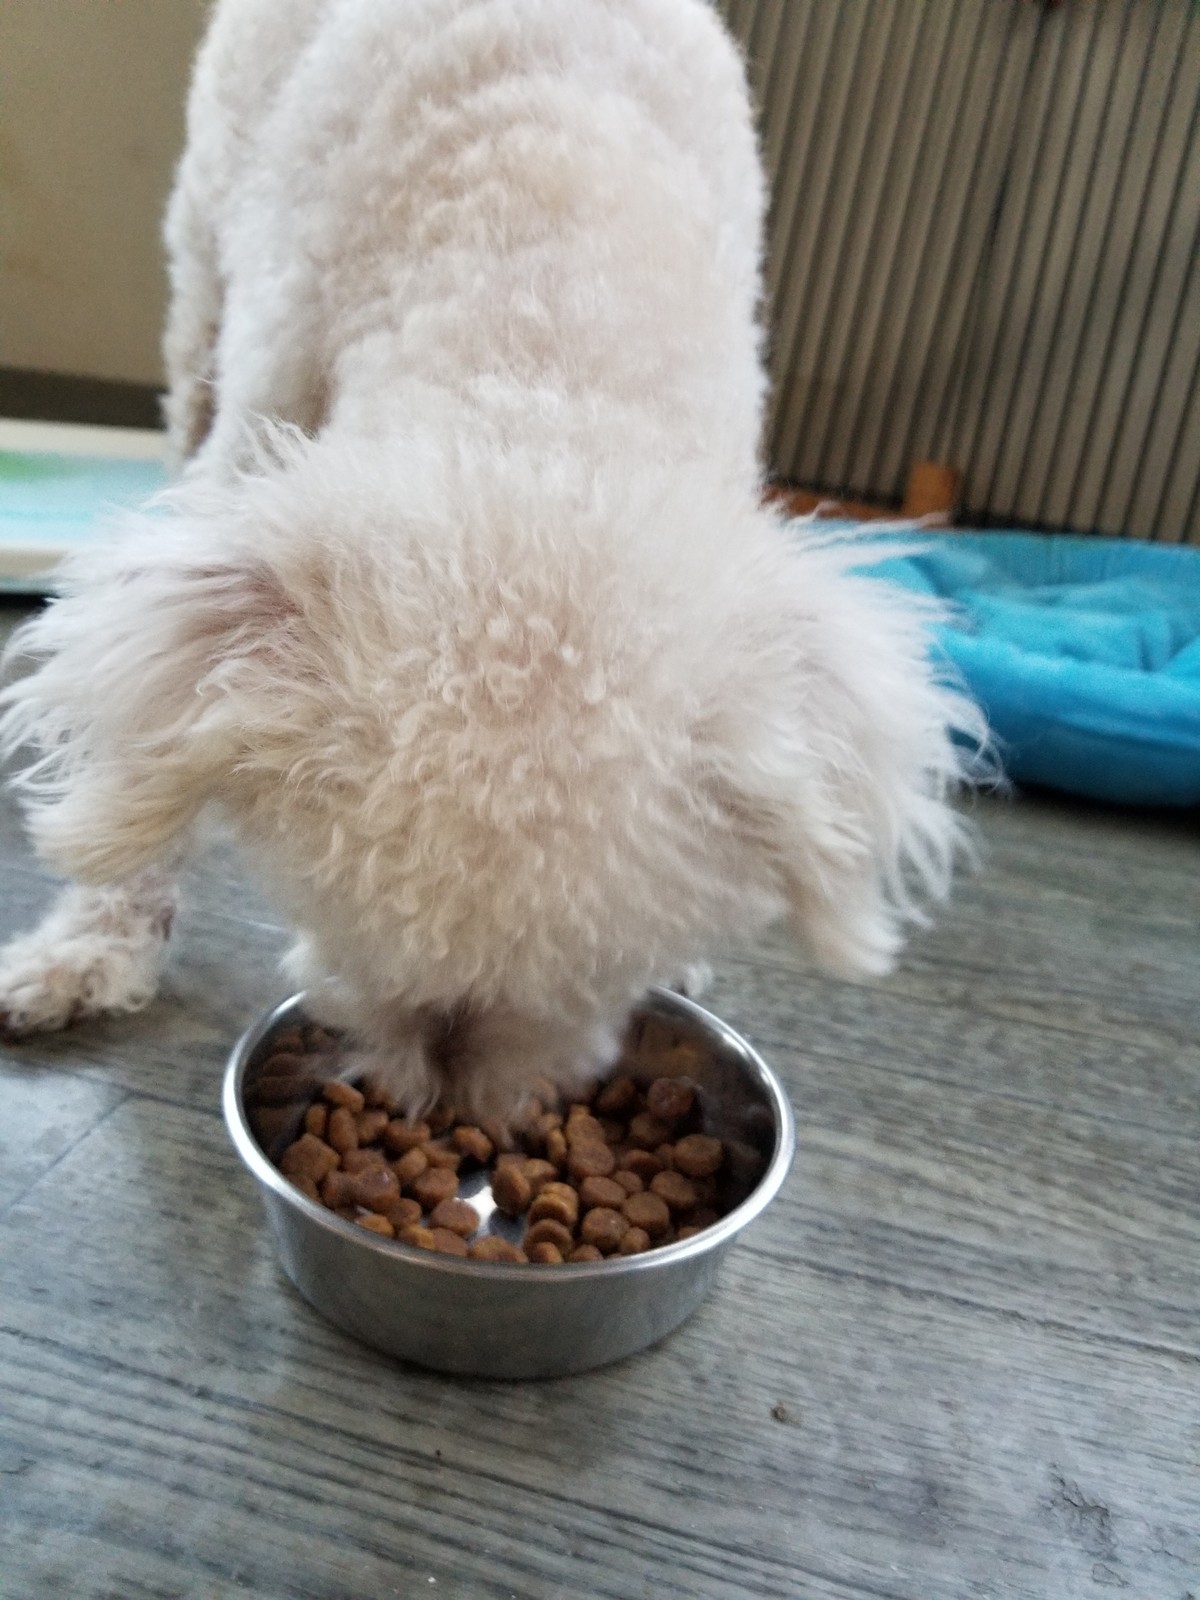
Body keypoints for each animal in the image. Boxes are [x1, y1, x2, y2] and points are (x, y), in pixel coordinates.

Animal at [0, 0, 980, 1115]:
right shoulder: (256, 436)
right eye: (343, 919)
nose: (449, 1093)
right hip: (206, 255)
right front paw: (91, 944)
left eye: (604, 965)